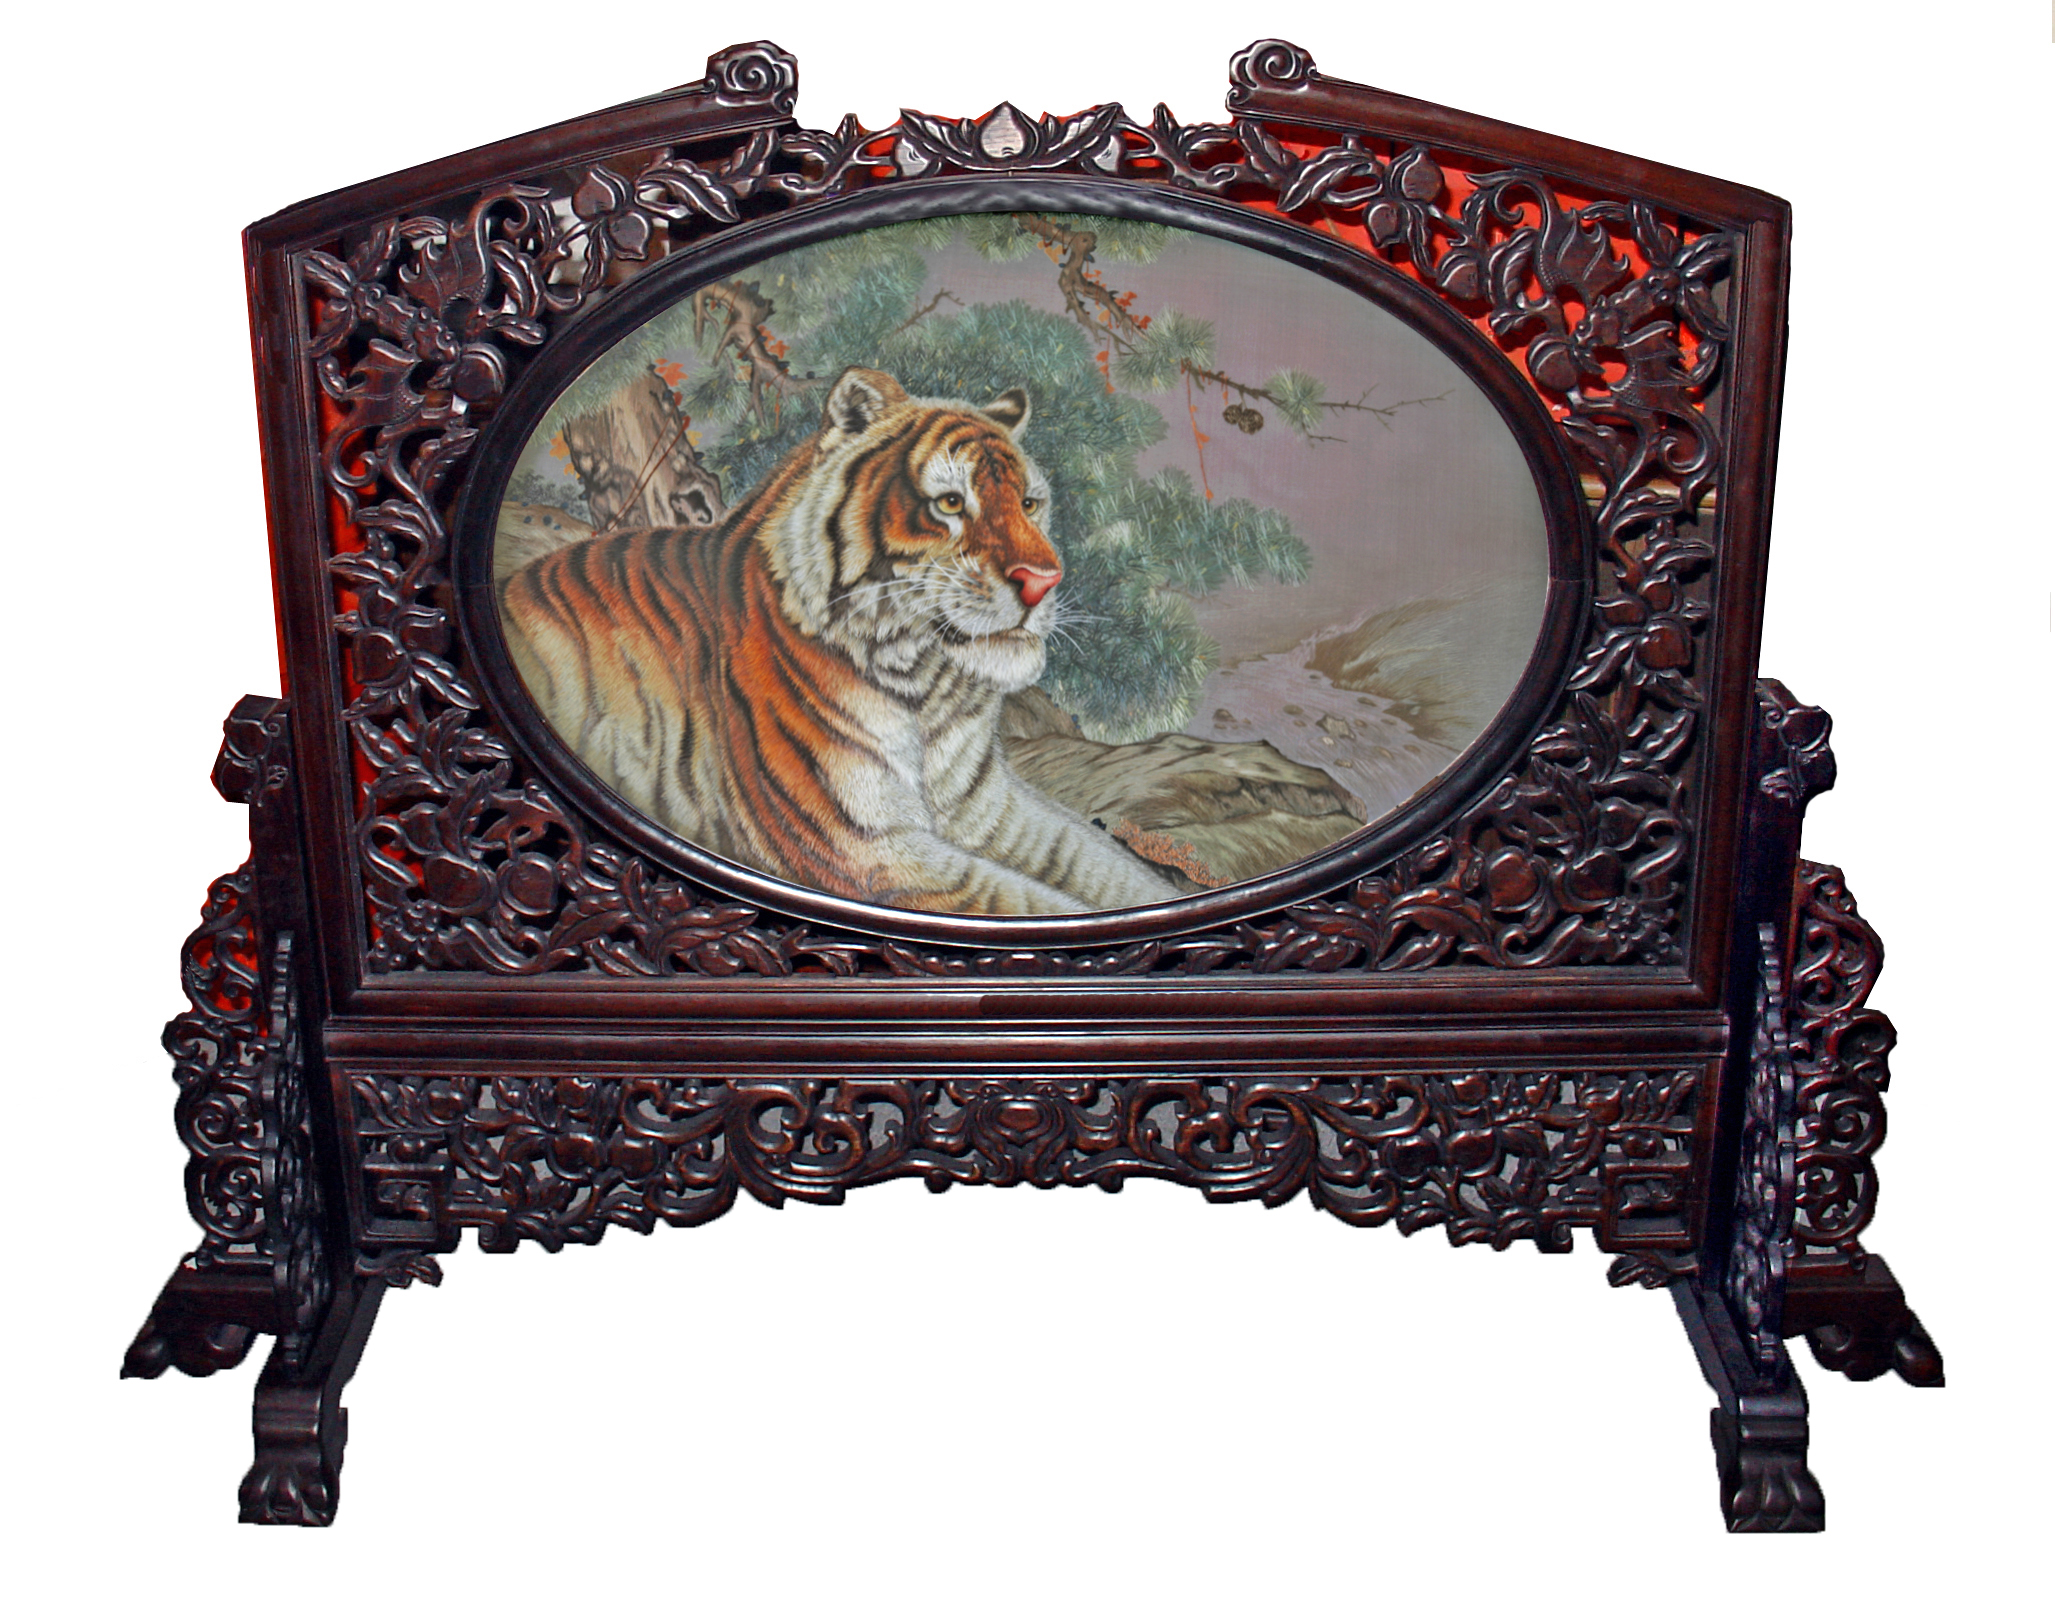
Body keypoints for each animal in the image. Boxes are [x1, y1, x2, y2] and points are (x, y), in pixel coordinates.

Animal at [498, 365, 1181, 915]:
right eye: (950, 502)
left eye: (1031, 504)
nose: (1044, 581)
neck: (930, 685)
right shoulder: (865, 853)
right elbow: (1027, 904)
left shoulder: (989, 810)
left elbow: (1109, 871)